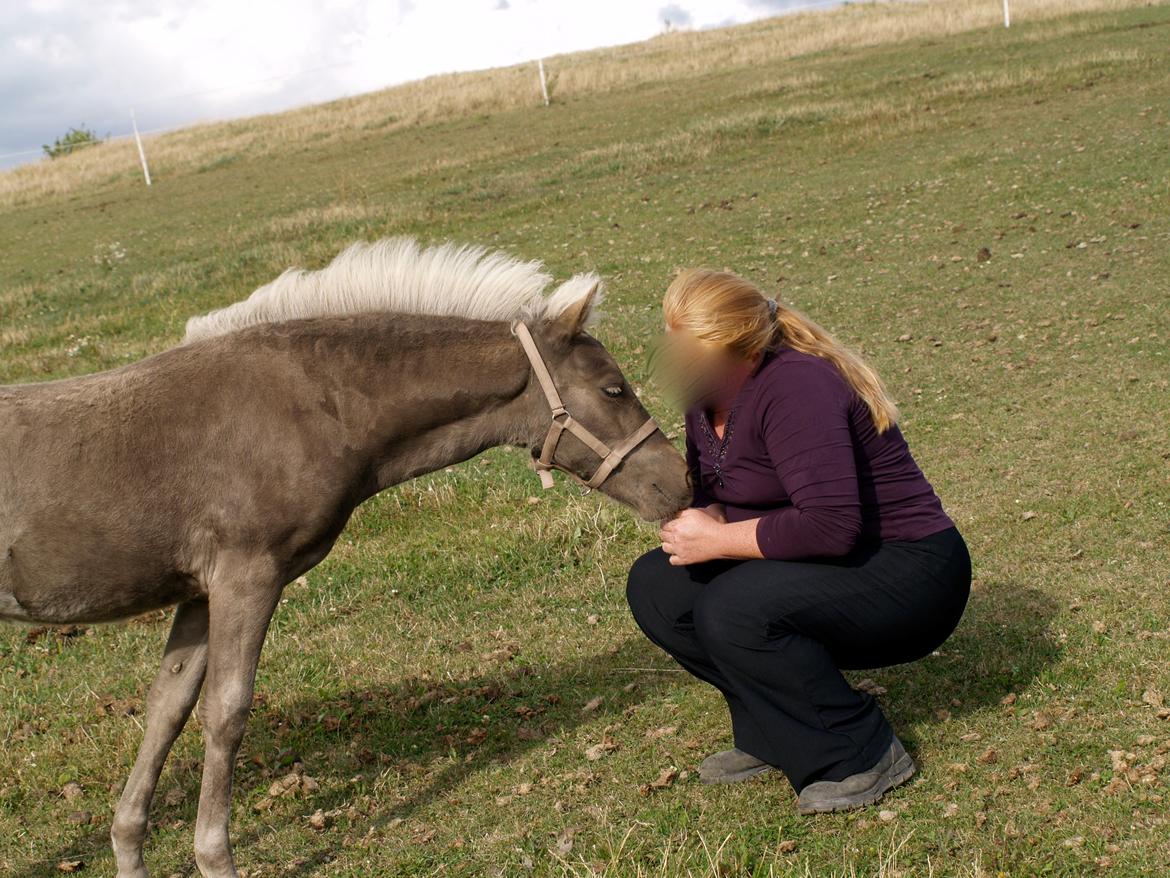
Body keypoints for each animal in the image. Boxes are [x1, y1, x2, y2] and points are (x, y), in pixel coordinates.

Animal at [0, 237, 687, 875]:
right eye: (613, 388)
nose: (680, 483)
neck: (309, 406)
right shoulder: (247, 576)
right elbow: (227, 711)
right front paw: (216, 857)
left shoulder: (199, 590)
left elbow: (167, 710)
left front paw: (129, 849)